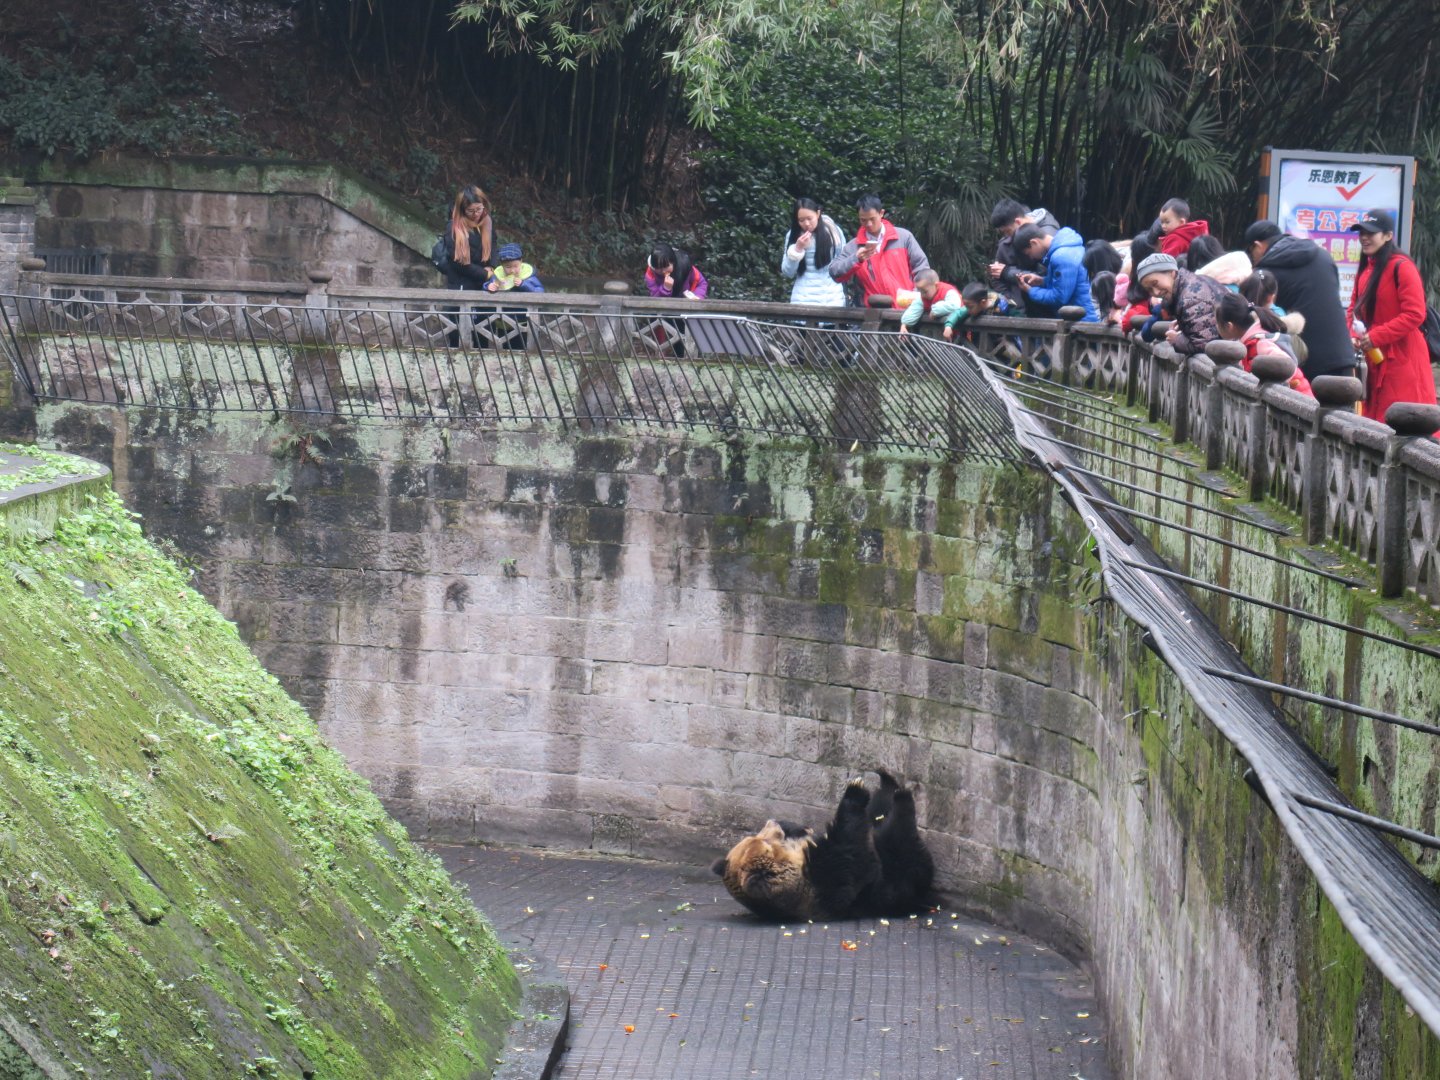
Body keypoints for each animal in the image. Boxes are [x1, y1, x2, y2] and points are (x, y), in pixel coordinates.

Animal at [711, 770, 937, 921]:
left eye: (759, 837)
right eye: (764, 841)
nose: (772, 822)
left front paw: (797, 827)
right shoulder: (826, 883)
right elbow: (853, 851)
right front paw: (855, 789)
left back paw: (887, 782)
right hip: (897, 880)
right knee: (901, 843)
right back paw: (901, 796)